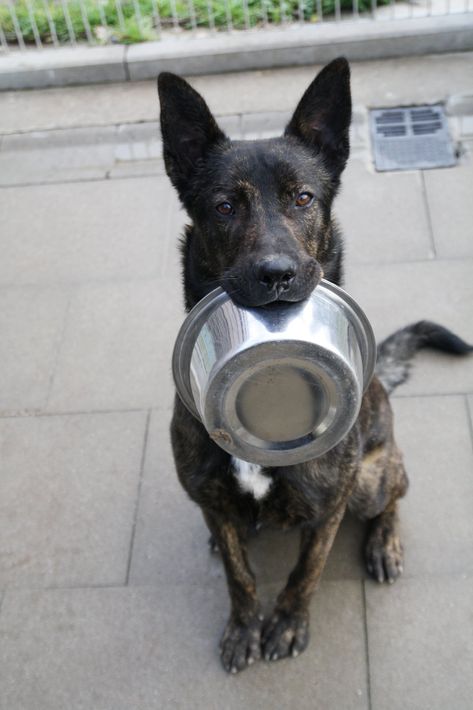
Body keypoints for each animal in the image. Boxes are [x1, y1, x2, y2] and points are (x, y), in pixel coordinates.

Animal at [158, 58, 472, 673]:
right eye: (225, 206)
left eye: (303, 198)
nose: (276, 273)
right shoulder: (212, 500)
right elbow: (238, 574)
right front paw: (244, 626)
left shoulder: (328, 508)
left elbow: (307, 571)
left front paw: (286, 624)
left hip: (372, 479)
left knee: (395, 495)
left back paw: (384, 543)